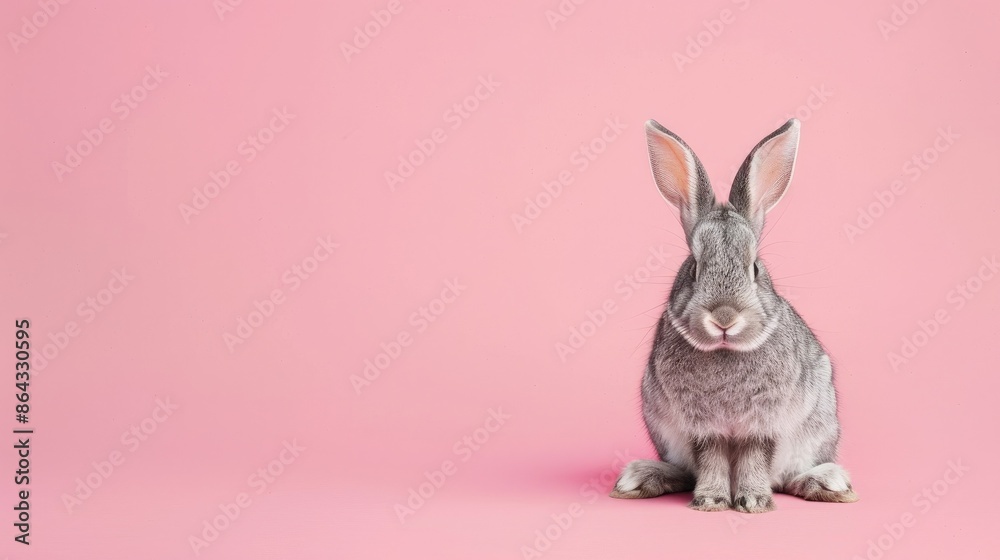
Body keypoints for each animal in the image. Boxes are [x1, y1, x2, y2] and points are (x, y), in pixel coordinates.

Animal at [609, 118, 858, 513]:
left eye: (755, 268)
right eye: (694, 268)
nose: (724, 317)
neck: (725, 352)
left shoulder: (763, 424)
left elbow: (755, 459)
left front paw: (754, 501)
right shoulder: (702, 427)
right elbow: (710, 460)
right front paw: (711, 500)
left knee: (789, 478)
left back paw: (827, 482)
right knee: (685, 471)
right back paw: (640, 477)